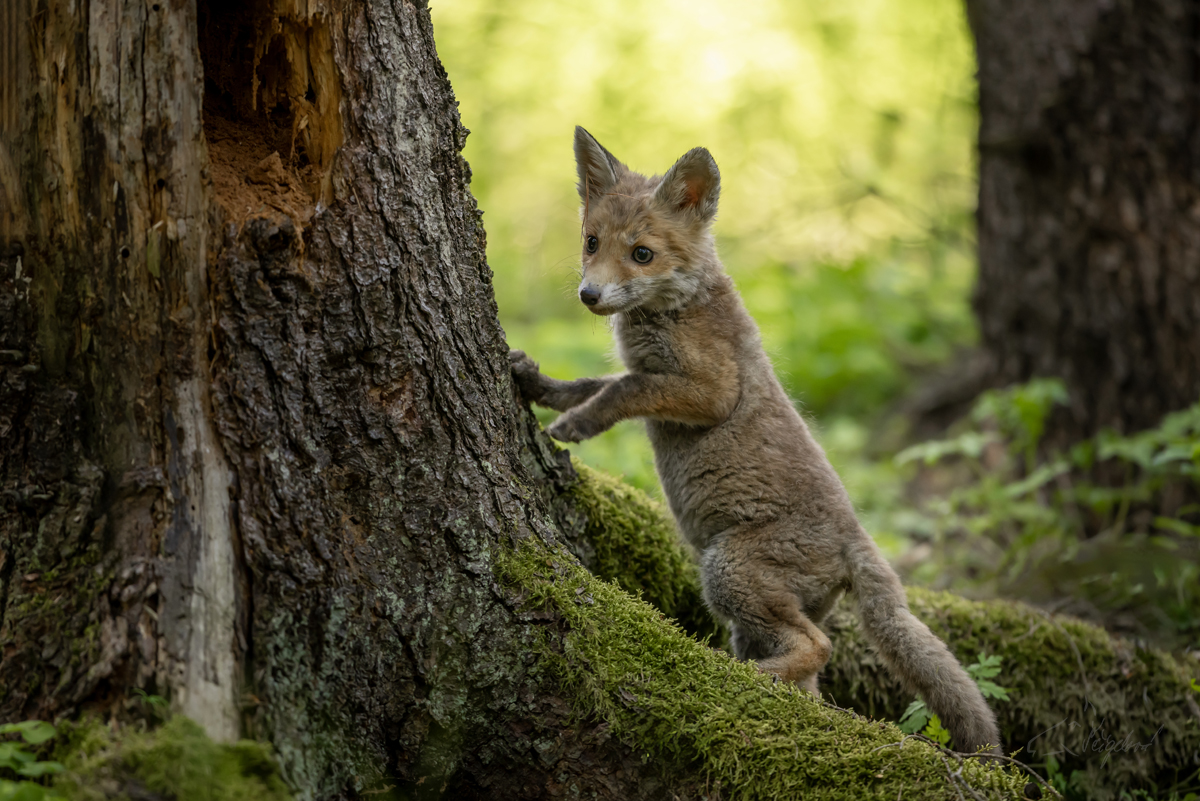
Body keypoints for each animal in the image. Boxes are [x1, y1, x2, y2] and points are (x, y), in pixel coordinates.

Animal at [506, 126, 1003, 757]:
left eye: (641, 253)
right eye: (591, 243)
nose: (589, 295)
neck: (680, 306)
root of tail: (858, 537)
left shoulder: (709, 390)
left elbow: (621, 388)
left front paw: (576, 426)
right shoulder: (656, 378)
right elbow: (591, 383)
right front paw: (535, 383)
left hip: (727, 571)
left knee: (820, 647)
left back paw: (734, 676)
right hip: (756, 612)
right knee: (810, 676)